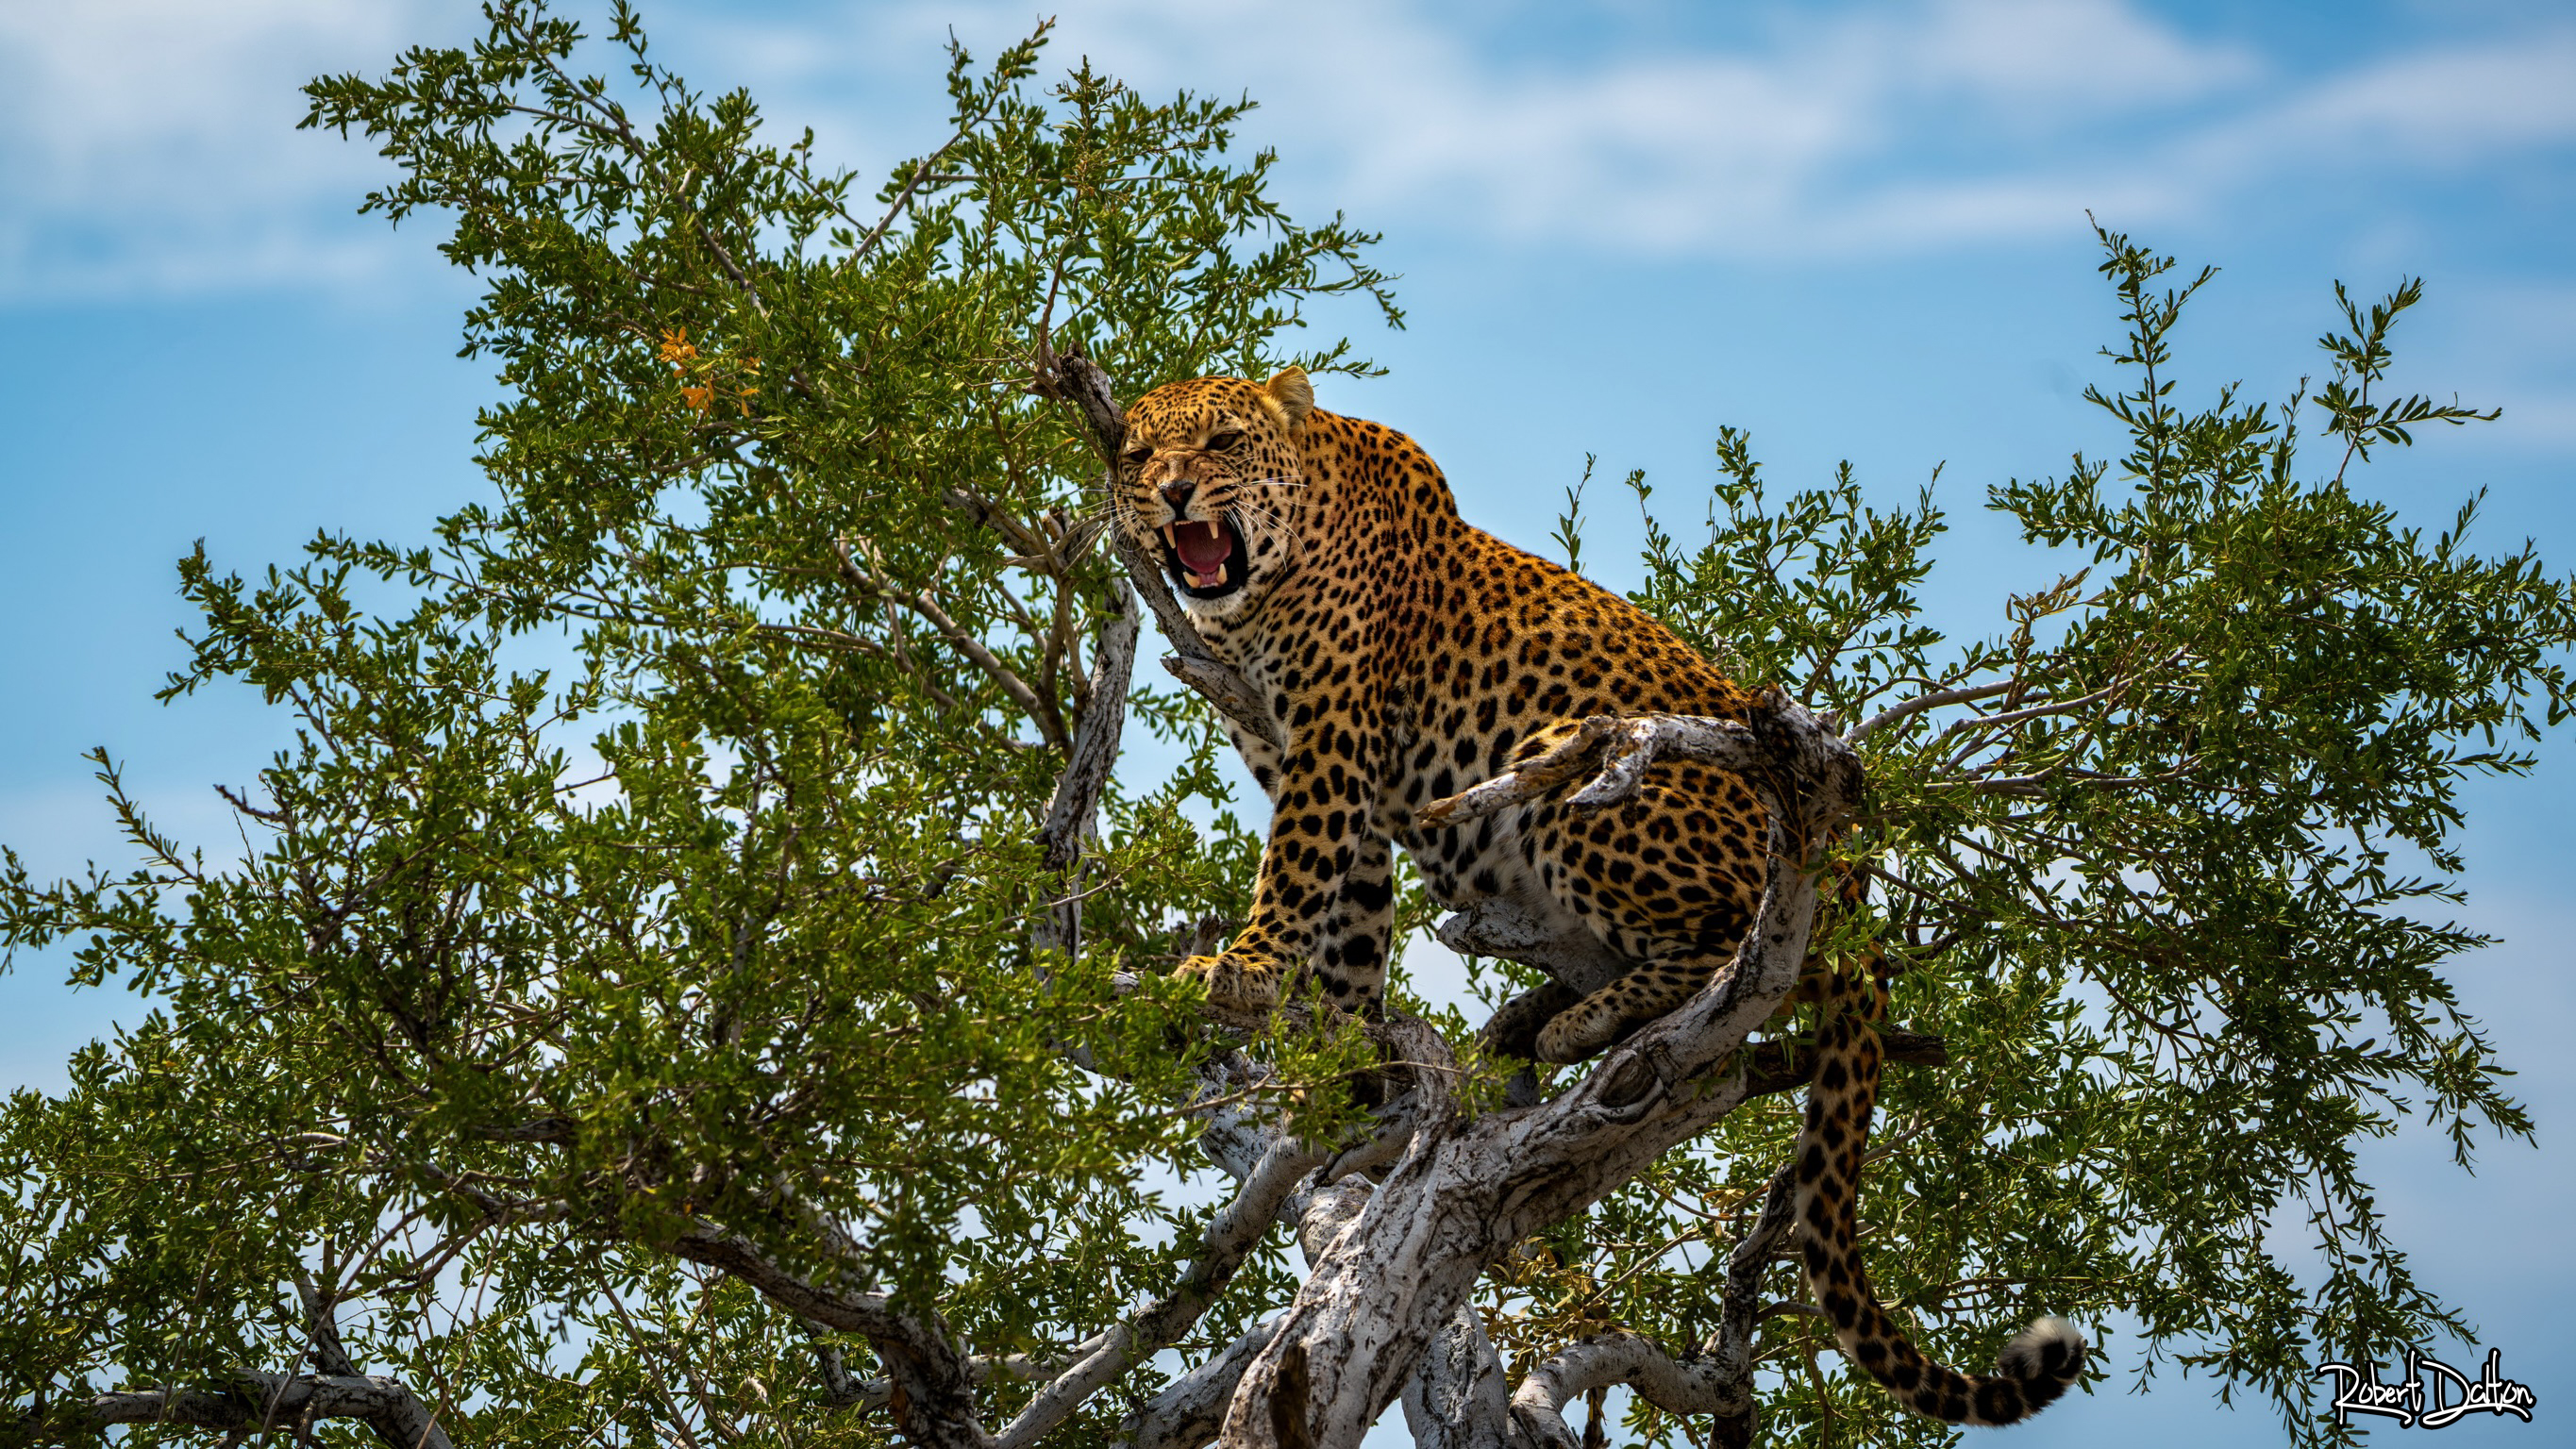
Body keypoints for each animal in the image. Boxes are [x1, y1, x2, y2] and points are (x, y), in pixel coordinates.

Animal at [1109, 365, 2086, 1428]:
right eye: (1138, 455)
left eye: (1221, 444)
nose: (1170, 494)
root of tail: (1852, 874)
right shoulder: (1325, 773)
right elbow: (1355, 931)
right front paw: (1348, 1071)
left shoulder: (1332, 743)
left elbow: (1293, 874)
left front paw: (1241, 972)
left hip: (1575, 775)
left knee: (1753, 959)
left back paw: (1584, 1023)